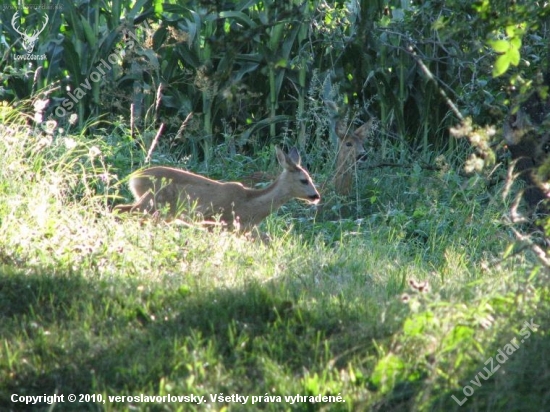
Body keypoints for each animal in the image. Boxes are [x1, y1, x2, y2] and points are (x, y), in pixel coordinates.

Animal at [115, 146, 324, 232]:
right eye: (304, 180)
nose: (316, 196)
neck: (249, 205)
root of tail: (134, 179)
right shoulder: (214, 220)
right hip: (155, 203)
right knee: (121, 209)